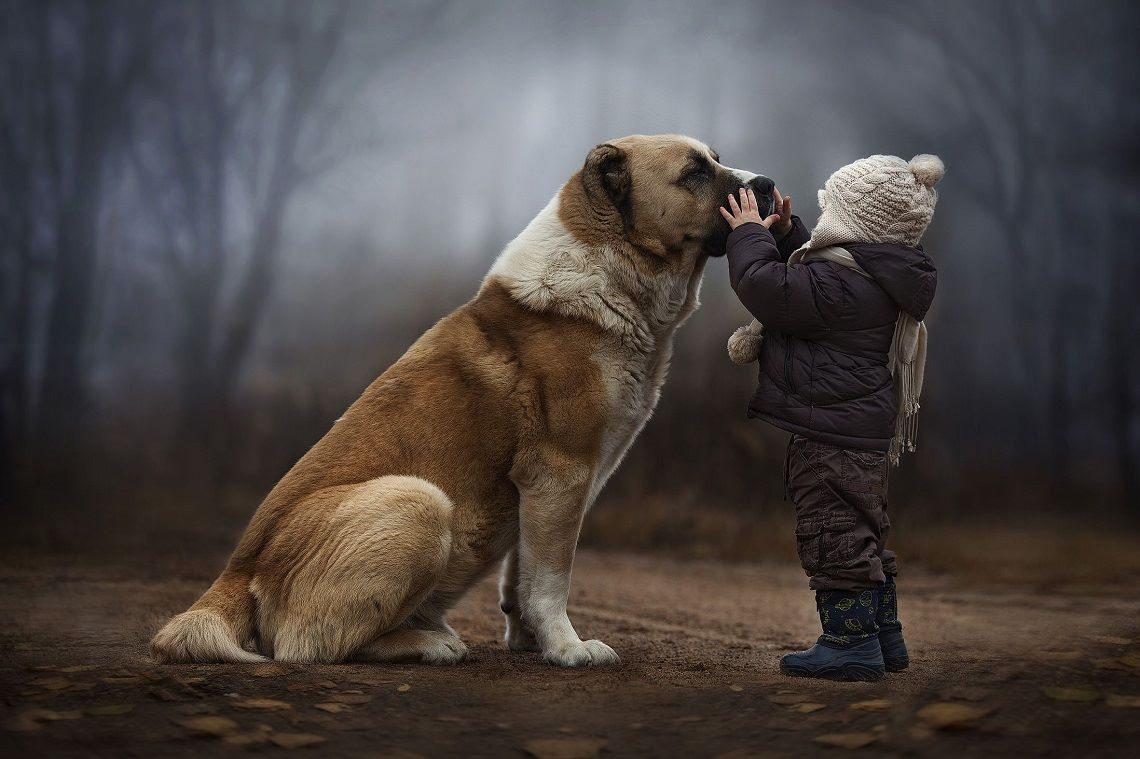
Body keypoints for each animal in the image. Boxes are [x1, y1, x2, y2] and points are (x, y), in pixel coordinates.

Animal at [153, 132, 775, 665]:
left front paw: (531, 642)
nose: (767, 184)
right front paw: (569, 649)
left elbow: (523, 575)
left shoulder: (546, 491)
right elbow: (552, 578)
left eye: (716, 160)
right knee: (312, 645)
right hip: (419, 502)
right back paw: (430, 643)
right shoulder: (561, 474)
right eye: (694, 172)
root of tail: (234, 575)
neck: (610, 272)